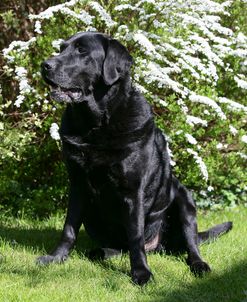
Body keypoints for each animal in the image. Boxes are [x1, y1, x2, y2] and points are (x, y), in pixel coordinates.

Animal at [37, 32, 233, 286]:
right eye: (61, 48)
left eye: (82, 51)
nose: (45, 65)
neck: (96, 124)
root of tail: (159, 246)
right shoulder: (78, 185)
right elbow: (68, 228)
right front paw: (56, 258)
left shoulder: (133, 191)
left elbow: (136, 236)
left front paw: (141, 272)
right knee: (114, 248)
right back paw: (100, 252)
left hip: (184, 198)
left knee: (191, 245)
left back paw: (198, 264)